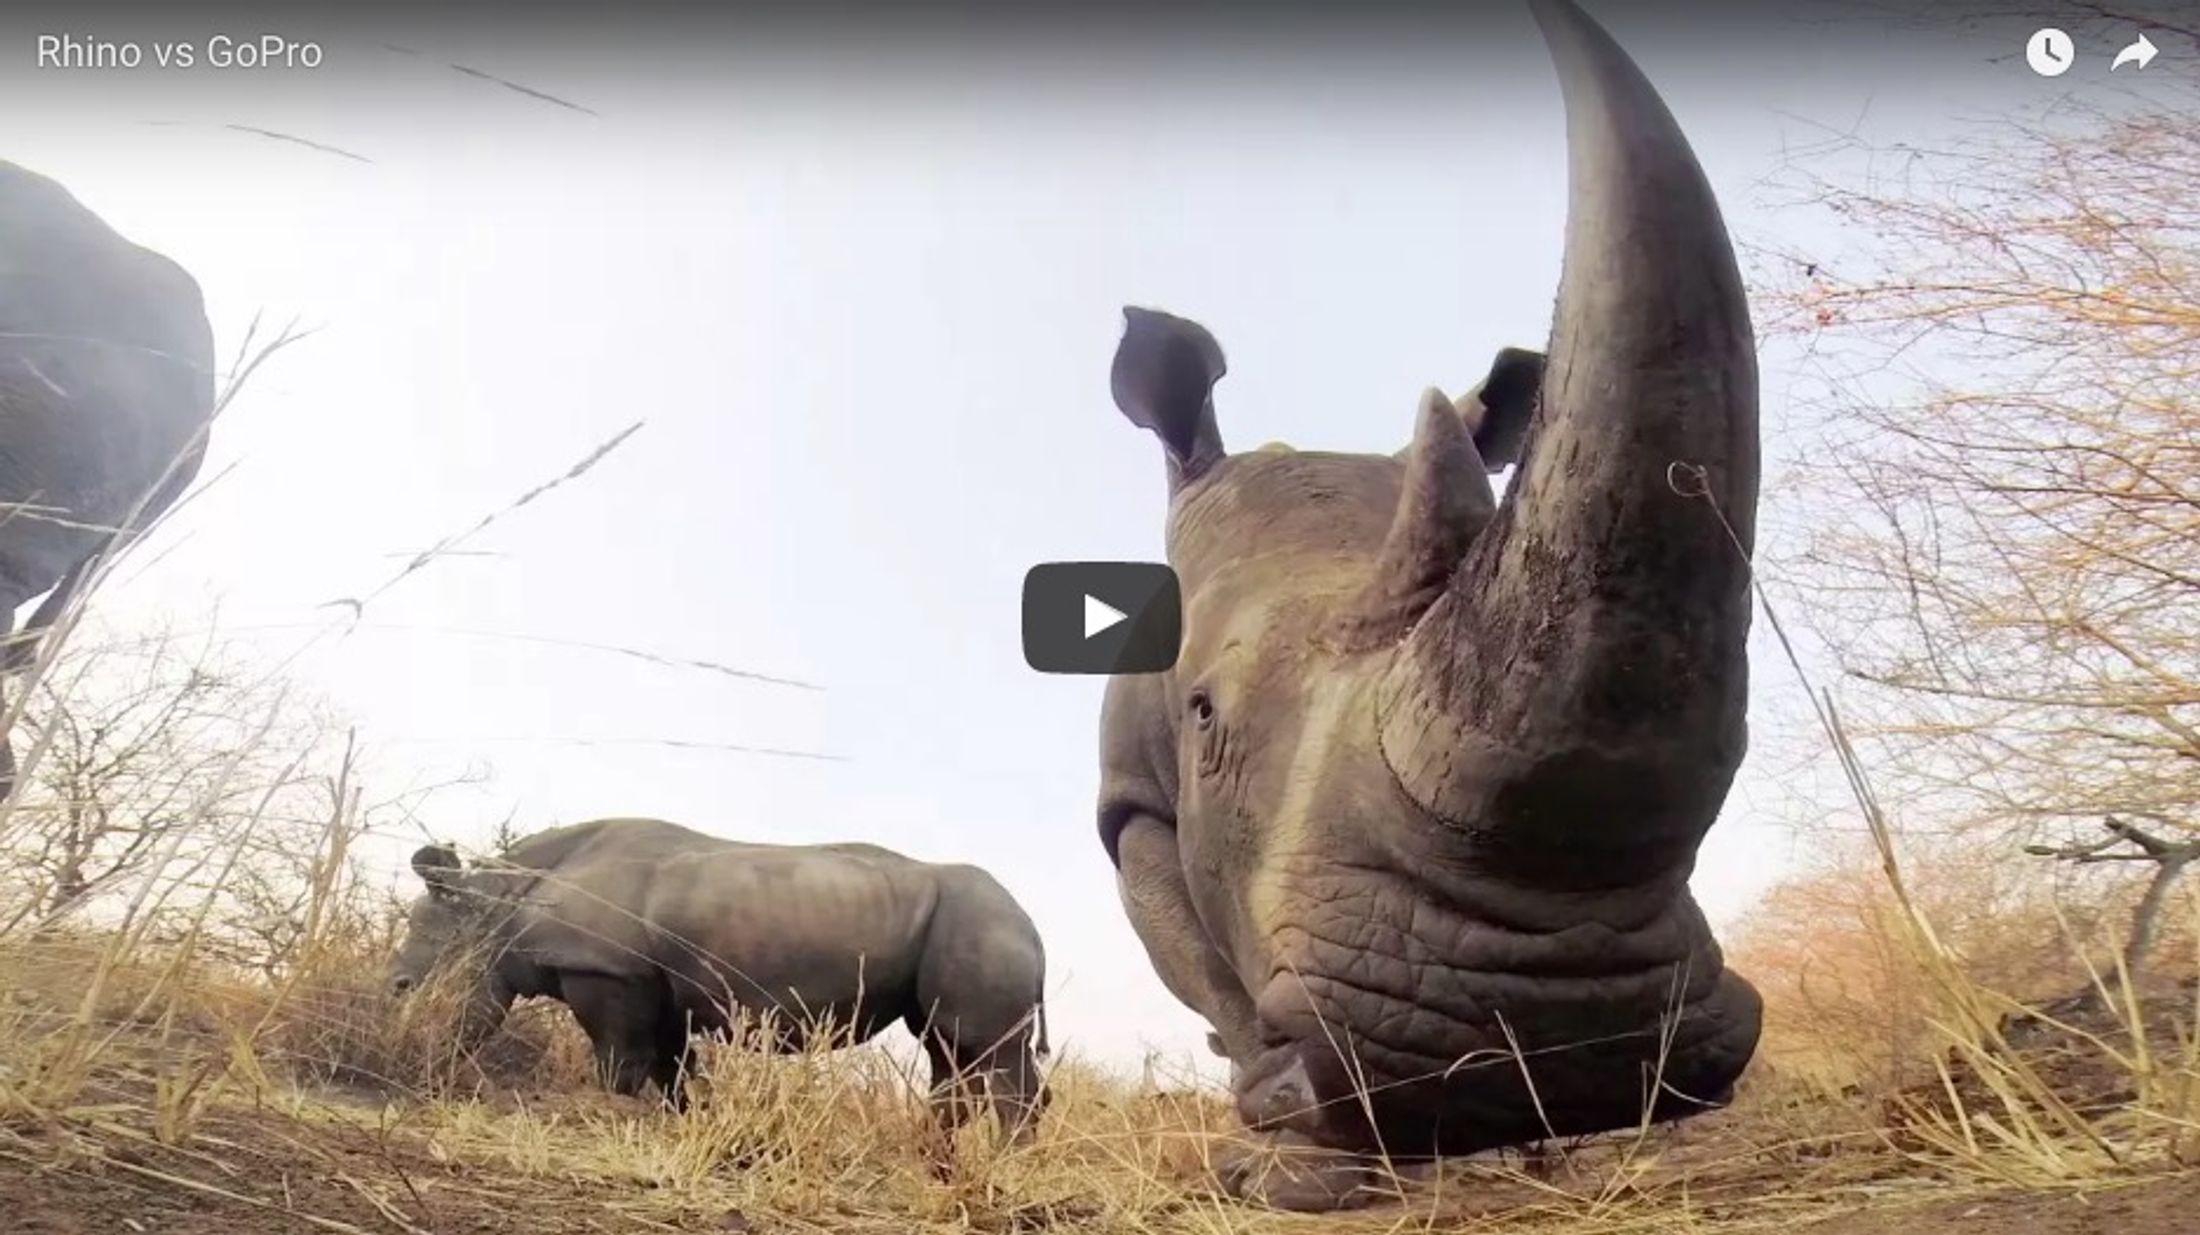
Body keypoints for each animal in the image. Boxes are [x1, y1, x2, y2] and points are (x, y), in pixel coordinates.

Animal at [389, 817, 1052, 1139]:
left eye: (415, 975)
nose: (393, 987)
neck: (498, 898)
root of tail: (1034, 926)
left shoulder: (608, 971)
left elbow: (620, 1062)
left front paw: (611, 1116)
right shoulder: (654, 985)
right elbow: (671, 1068)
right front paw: (683, 1123)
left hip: (982, 923)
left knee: (986, 1053)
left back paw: (1001, 1169)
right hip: (967, 925)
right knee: (952, 1052)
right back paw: (934, 1162)